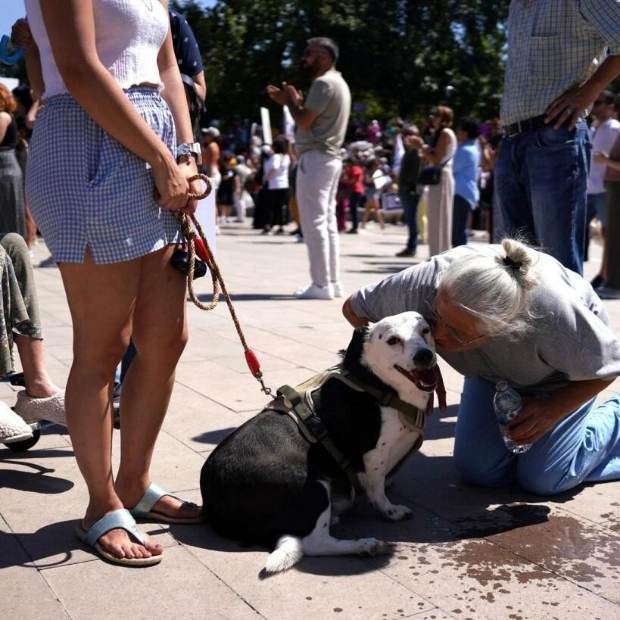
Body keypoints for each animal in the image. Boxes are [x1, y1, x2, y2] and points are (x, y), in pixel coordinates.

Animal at [201, 314, 444, 576]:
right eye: (392, 340)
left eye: (425, 330)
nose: (424, 356)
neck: (377, 383)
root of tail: (214, 508)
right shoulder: (374, 454)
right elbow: (377, 491)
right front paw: (390, 510)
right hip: (314, 486)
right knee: (314, 542)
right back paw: (363, 545)